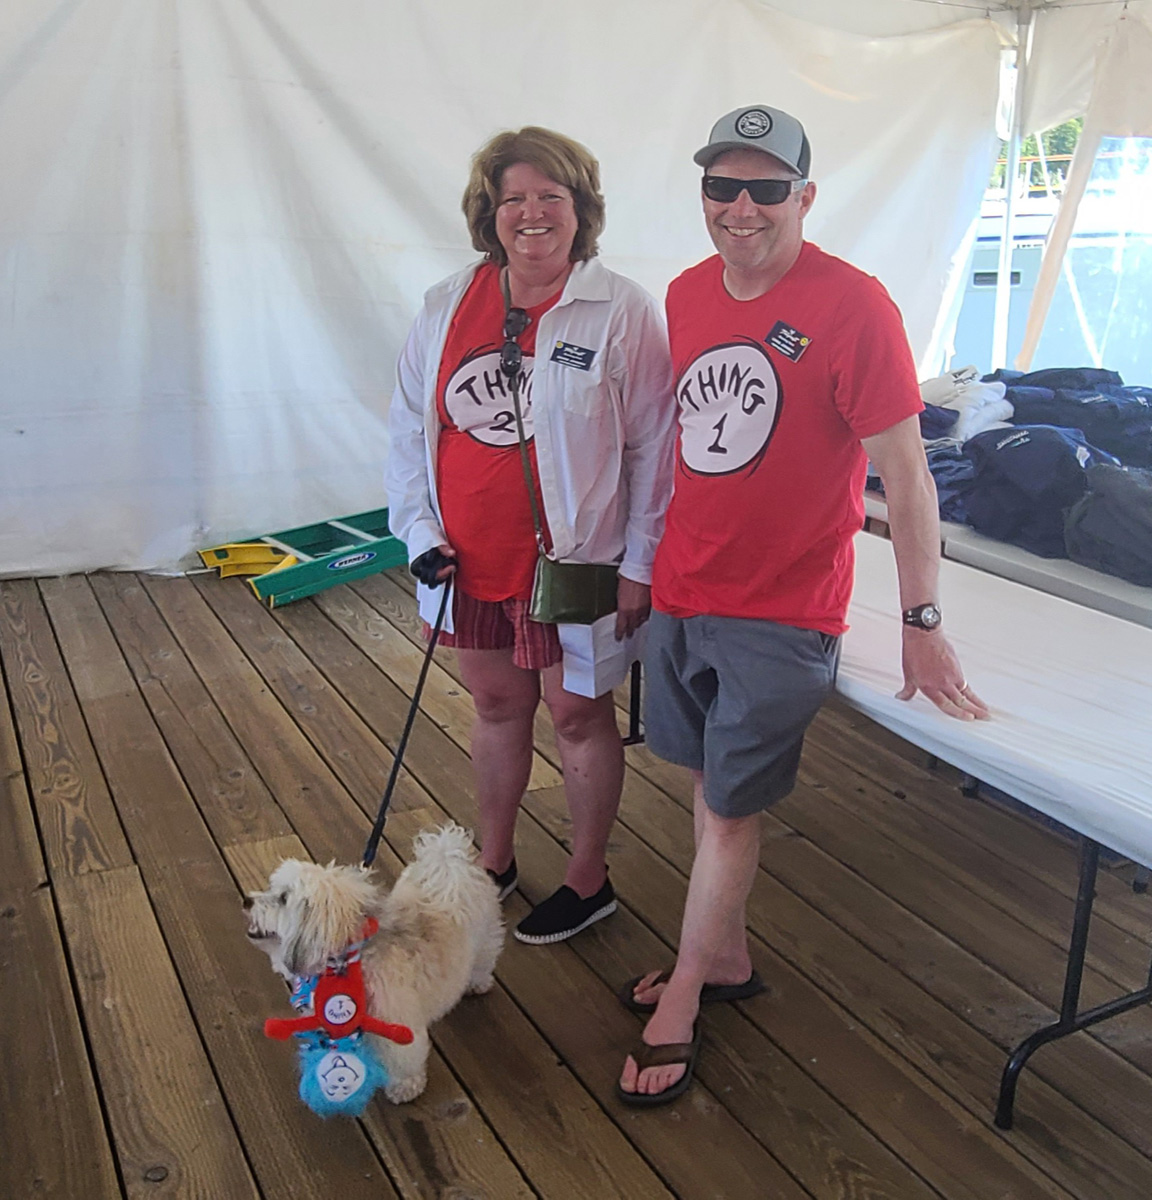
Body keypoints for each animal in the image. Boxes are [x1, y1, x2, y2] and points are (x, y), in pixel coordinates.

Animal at [244, 823, 504, 1103]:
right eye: (271, 888)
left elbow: (403, 1058)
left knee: (484, 959)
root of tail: (449, 858)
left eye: (283, 898)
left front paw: (405, 1086)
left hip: (486, 936)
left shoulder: (397, 1024)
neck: (348, 959)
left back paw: (478, 982)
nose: (247, 900)